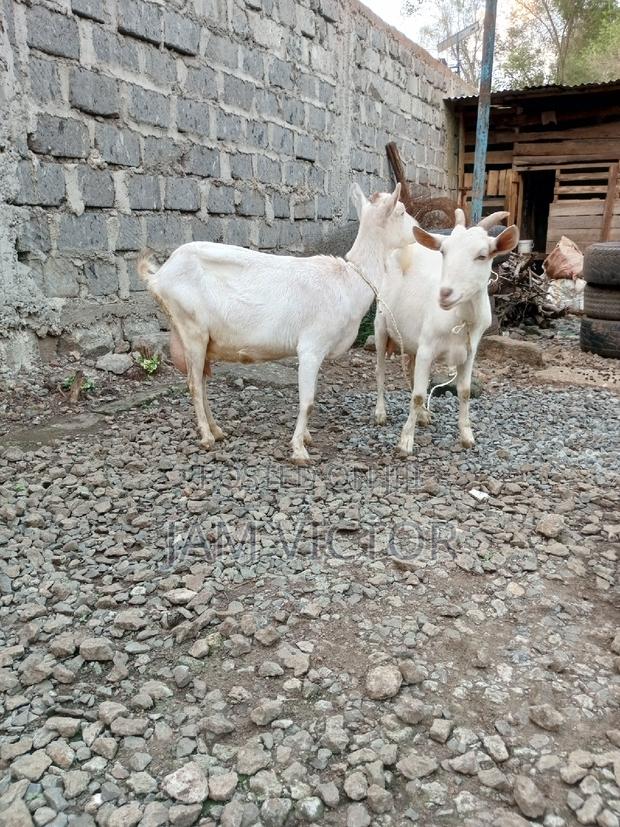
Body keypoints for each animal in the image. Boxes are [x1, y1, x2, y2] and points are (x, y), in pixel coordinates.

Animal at [138, 183, 415, 464]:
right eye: (402, 211)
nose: (418, 231)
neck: (350, 280)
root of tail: (159, 276)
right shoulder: (311, 346)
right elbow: (308, 401)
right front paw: (299, 450)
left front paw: (306, 438)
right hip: (191, 328)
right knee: (194, 384)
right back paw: (206, 437)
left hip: (203, 338)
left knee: (202, 384)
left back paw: (217, 430)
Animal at [373, 209, 519, 453]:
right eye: (444, 251)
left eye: (482, 255)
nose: (444, 294)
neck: (460, 318)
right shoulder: (427, 348)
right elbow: (418, 395)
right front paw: (405, 442)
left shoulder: (469, 352)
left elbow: (464, 392)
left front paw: (467, 436)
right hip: (381, 325)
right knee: (381, 370)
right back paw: (380, 413)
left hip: (413, 341)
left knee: (411, 370)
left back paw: (423, 416)